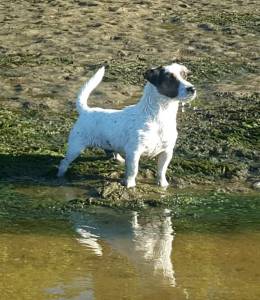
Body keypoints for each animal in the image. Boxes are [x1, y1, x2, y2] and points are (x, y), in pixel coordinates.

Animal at [57, 63, 195, 188]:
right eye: (170, 78)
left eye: (184, 75)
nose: (192, 88)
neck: (159, 116)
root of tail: (86, 111)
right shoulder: (134, 152)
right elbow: (133, 171)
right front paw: (130, 185)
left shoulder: (166, 152)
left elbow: (161, 170)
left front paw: (163, 185)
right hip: (75, 148)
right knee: (64, 162)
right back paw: (60, 176)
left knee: (111, 152)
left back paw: (119, 159)